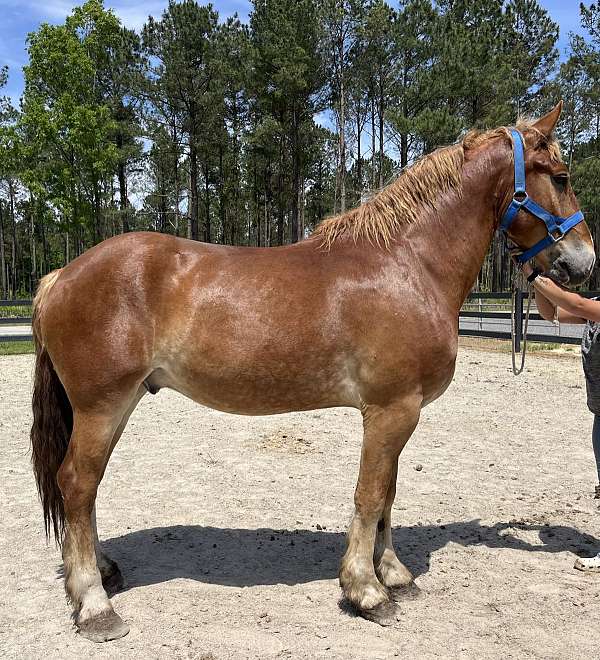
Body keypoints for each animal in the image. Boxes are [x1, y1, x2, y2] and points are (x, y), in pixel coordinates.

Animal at [29, 104, 596, 644]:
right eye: (562, 176)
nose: (584, 263)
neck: (408, 265)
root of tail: (62, 276)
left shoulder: (399, 412)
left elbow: (388, 494)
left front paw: (393, 574)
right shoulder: (392, 409)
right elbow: (370, 494)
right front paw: (366, 590)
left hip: (116, 406)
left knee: (85, 488)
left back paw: (101, 574)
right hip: (102, 406)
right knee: (77, 483)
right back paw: (96, 606)